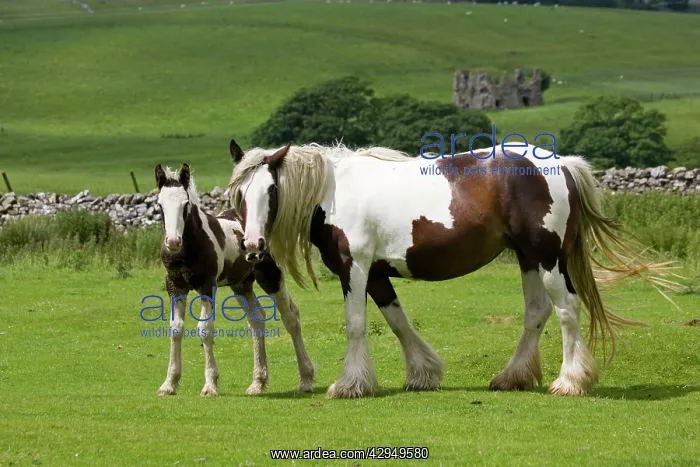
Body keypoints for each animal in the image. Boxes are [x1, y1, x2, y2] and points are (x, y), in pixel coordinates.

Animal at [153, 162, 315, 397]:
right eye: (159, 205)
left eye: (185, 204)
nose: (173, 242)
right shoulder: (175, 286)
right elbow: (175, 329)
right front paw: (169, 383)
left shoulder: (207, 286)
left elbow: (205, 330)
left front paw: (210, 385)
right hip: (241, 284)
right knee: (257, 319)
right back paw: (258, 382)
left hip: (270, 276)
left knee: (291, 317)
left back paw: (306, 379)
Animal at [226, 140, 679, 399]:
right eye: (238, 194)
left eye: (271, 190)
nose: (252, 247)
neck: (333, 191)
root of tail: (562, 163)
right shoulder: (377, 274)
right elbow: (397, 322)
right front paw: (423, 373)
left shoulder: (354, 268)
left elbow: (355, 325)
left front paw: (350, 384)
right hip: (528, 259)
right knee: (536, 313)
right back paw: (511, 377)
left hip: (547, 258)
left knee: (567, 311)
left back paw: (569, 381)